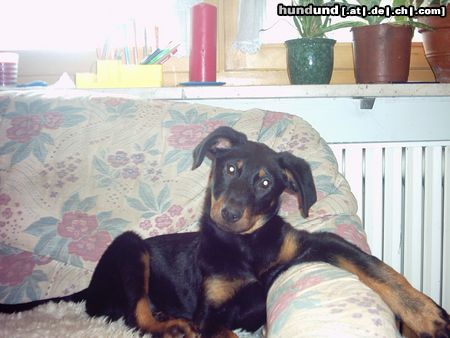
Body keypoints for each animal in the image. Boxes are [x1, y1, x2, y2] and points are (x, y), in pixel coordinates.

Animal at [0, 127, 450, 338]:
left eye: (266, 182)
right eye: (230, 168)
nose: (229, 212)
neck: (245, 245)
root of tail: (87, 289)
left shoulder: (313, 244)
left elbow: (376, 267)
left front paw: (426, 315)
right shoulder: (211, 313)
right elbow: (220, 331)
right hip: (130, 247)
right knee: (134, 313)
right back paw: (169, 325)